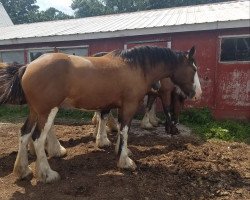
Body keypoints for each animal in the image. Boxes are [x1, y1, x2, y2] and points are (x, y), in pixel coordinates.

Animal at [0, 45, 198, 183]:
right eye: (194, 69)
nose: (196, 93)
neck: (135, 67)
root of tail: (28, 66)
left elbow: (120, 130)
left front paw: (120, 150)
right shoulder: (129, 106)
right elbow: (125, 131)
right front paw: (125, 161)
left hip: (35, 111)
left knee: (24, 133)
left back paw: (23, 170)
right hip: (47, 111)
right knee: (37, 138)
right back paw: (47, 174)